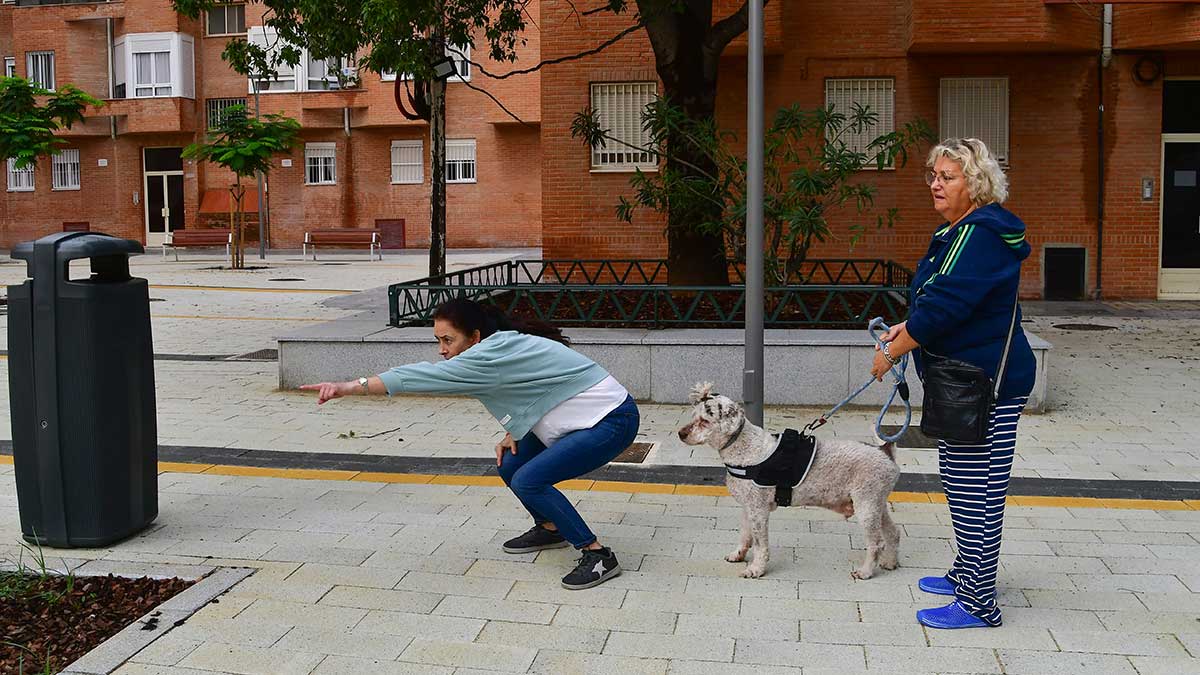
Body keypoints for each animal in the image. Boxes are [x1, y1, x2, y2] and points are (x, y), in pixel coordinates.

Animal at [676, 381, 902, 576]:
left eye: (704, 421)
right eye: (693, 415)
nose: (680, 434)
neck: (746, 449)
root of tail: (885, 452)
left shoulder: (759, 510)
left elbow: (760, 544)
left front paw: (756, 569)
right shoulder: (748, 506)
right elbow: (745, 535)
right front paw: (738, 555)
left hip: (866, 504)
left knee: (877, 543)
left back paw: (865, 571)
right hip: (876, 504)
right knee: (893, 533)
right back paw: (890, 562)